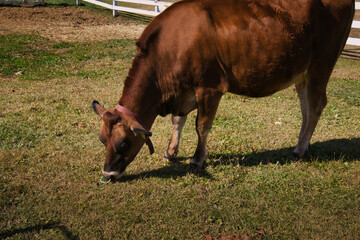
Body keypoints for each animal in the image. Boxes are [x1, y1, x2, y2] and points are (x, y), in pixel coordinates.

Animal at [92, 0, 354, 180]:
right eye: (102, 139)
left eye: (123, 144)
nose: (108, 174)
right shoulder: (184, 92)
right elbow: (178, 121)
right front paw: (170, 151)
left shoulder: (209, 87)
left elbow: (201, 126)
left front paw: (197, 160)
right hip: (302, 72)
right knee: (306, 108)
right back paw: (301, 144)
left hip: (322, 65)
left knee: (316, 105)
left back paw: (299, 150)